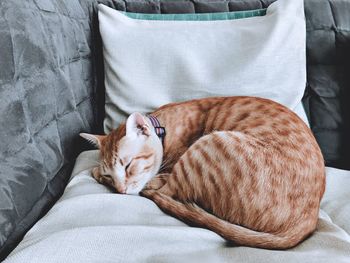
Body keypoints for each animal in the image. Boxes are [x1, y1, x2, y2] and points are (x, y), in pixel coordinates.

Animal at [81, 96, 326, 250]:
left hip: (207, 145)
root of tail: (309, 218)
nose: (121, 190)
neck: (164, 127)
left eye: (127, 165)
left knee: (167, 193)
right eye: (111, 175)